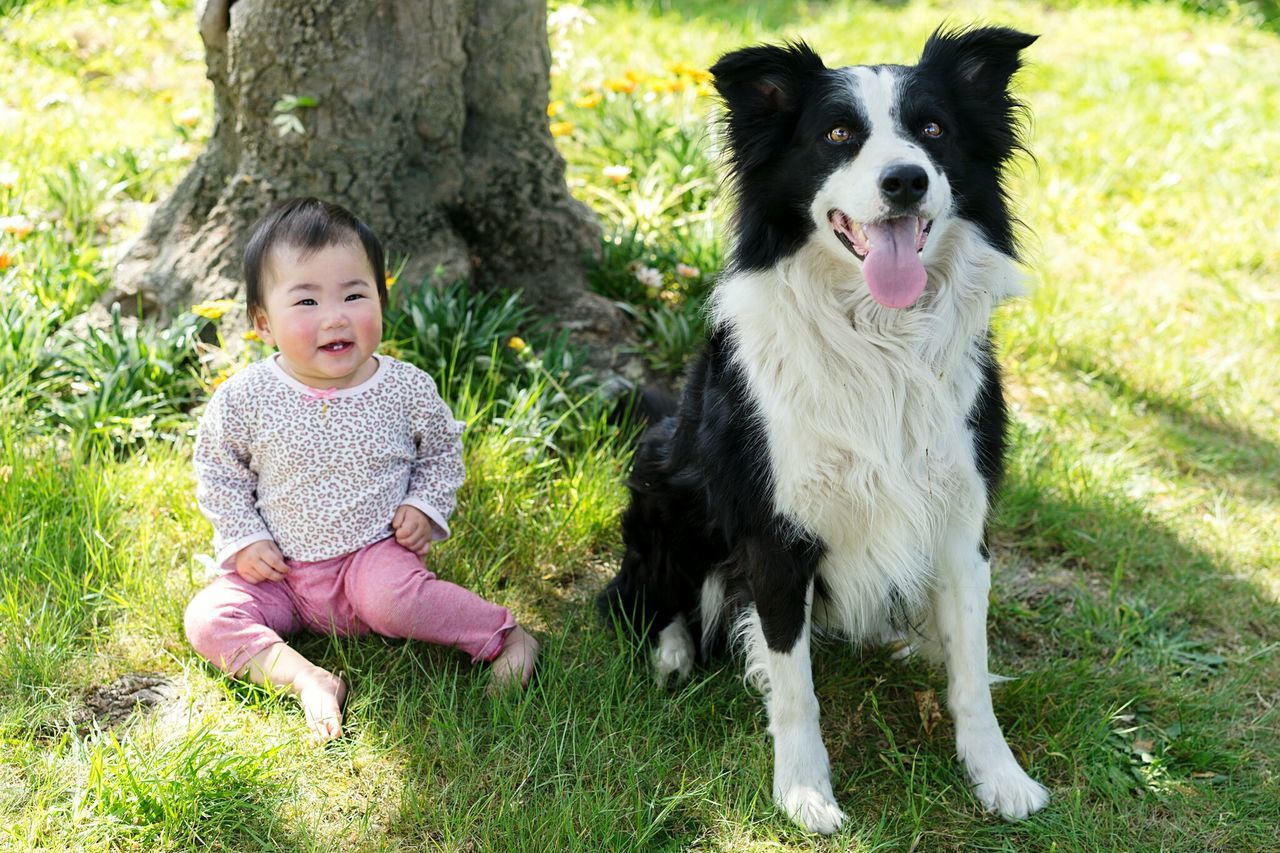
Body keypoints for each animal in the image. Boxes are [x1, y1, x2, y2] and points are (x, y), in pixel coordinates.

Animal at [599, 24, 1049, 829]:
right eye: (838, 135)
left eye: (933, 129)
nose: (905, 180)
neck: (882, 342)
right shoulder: (778, 538)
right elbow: (794, 685)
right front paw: (804, 790)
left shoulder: (961, 521)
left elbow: (971, 671)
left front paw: (998, 775)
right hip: (664, 475)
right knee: (643, 594)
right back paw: (672, 652)